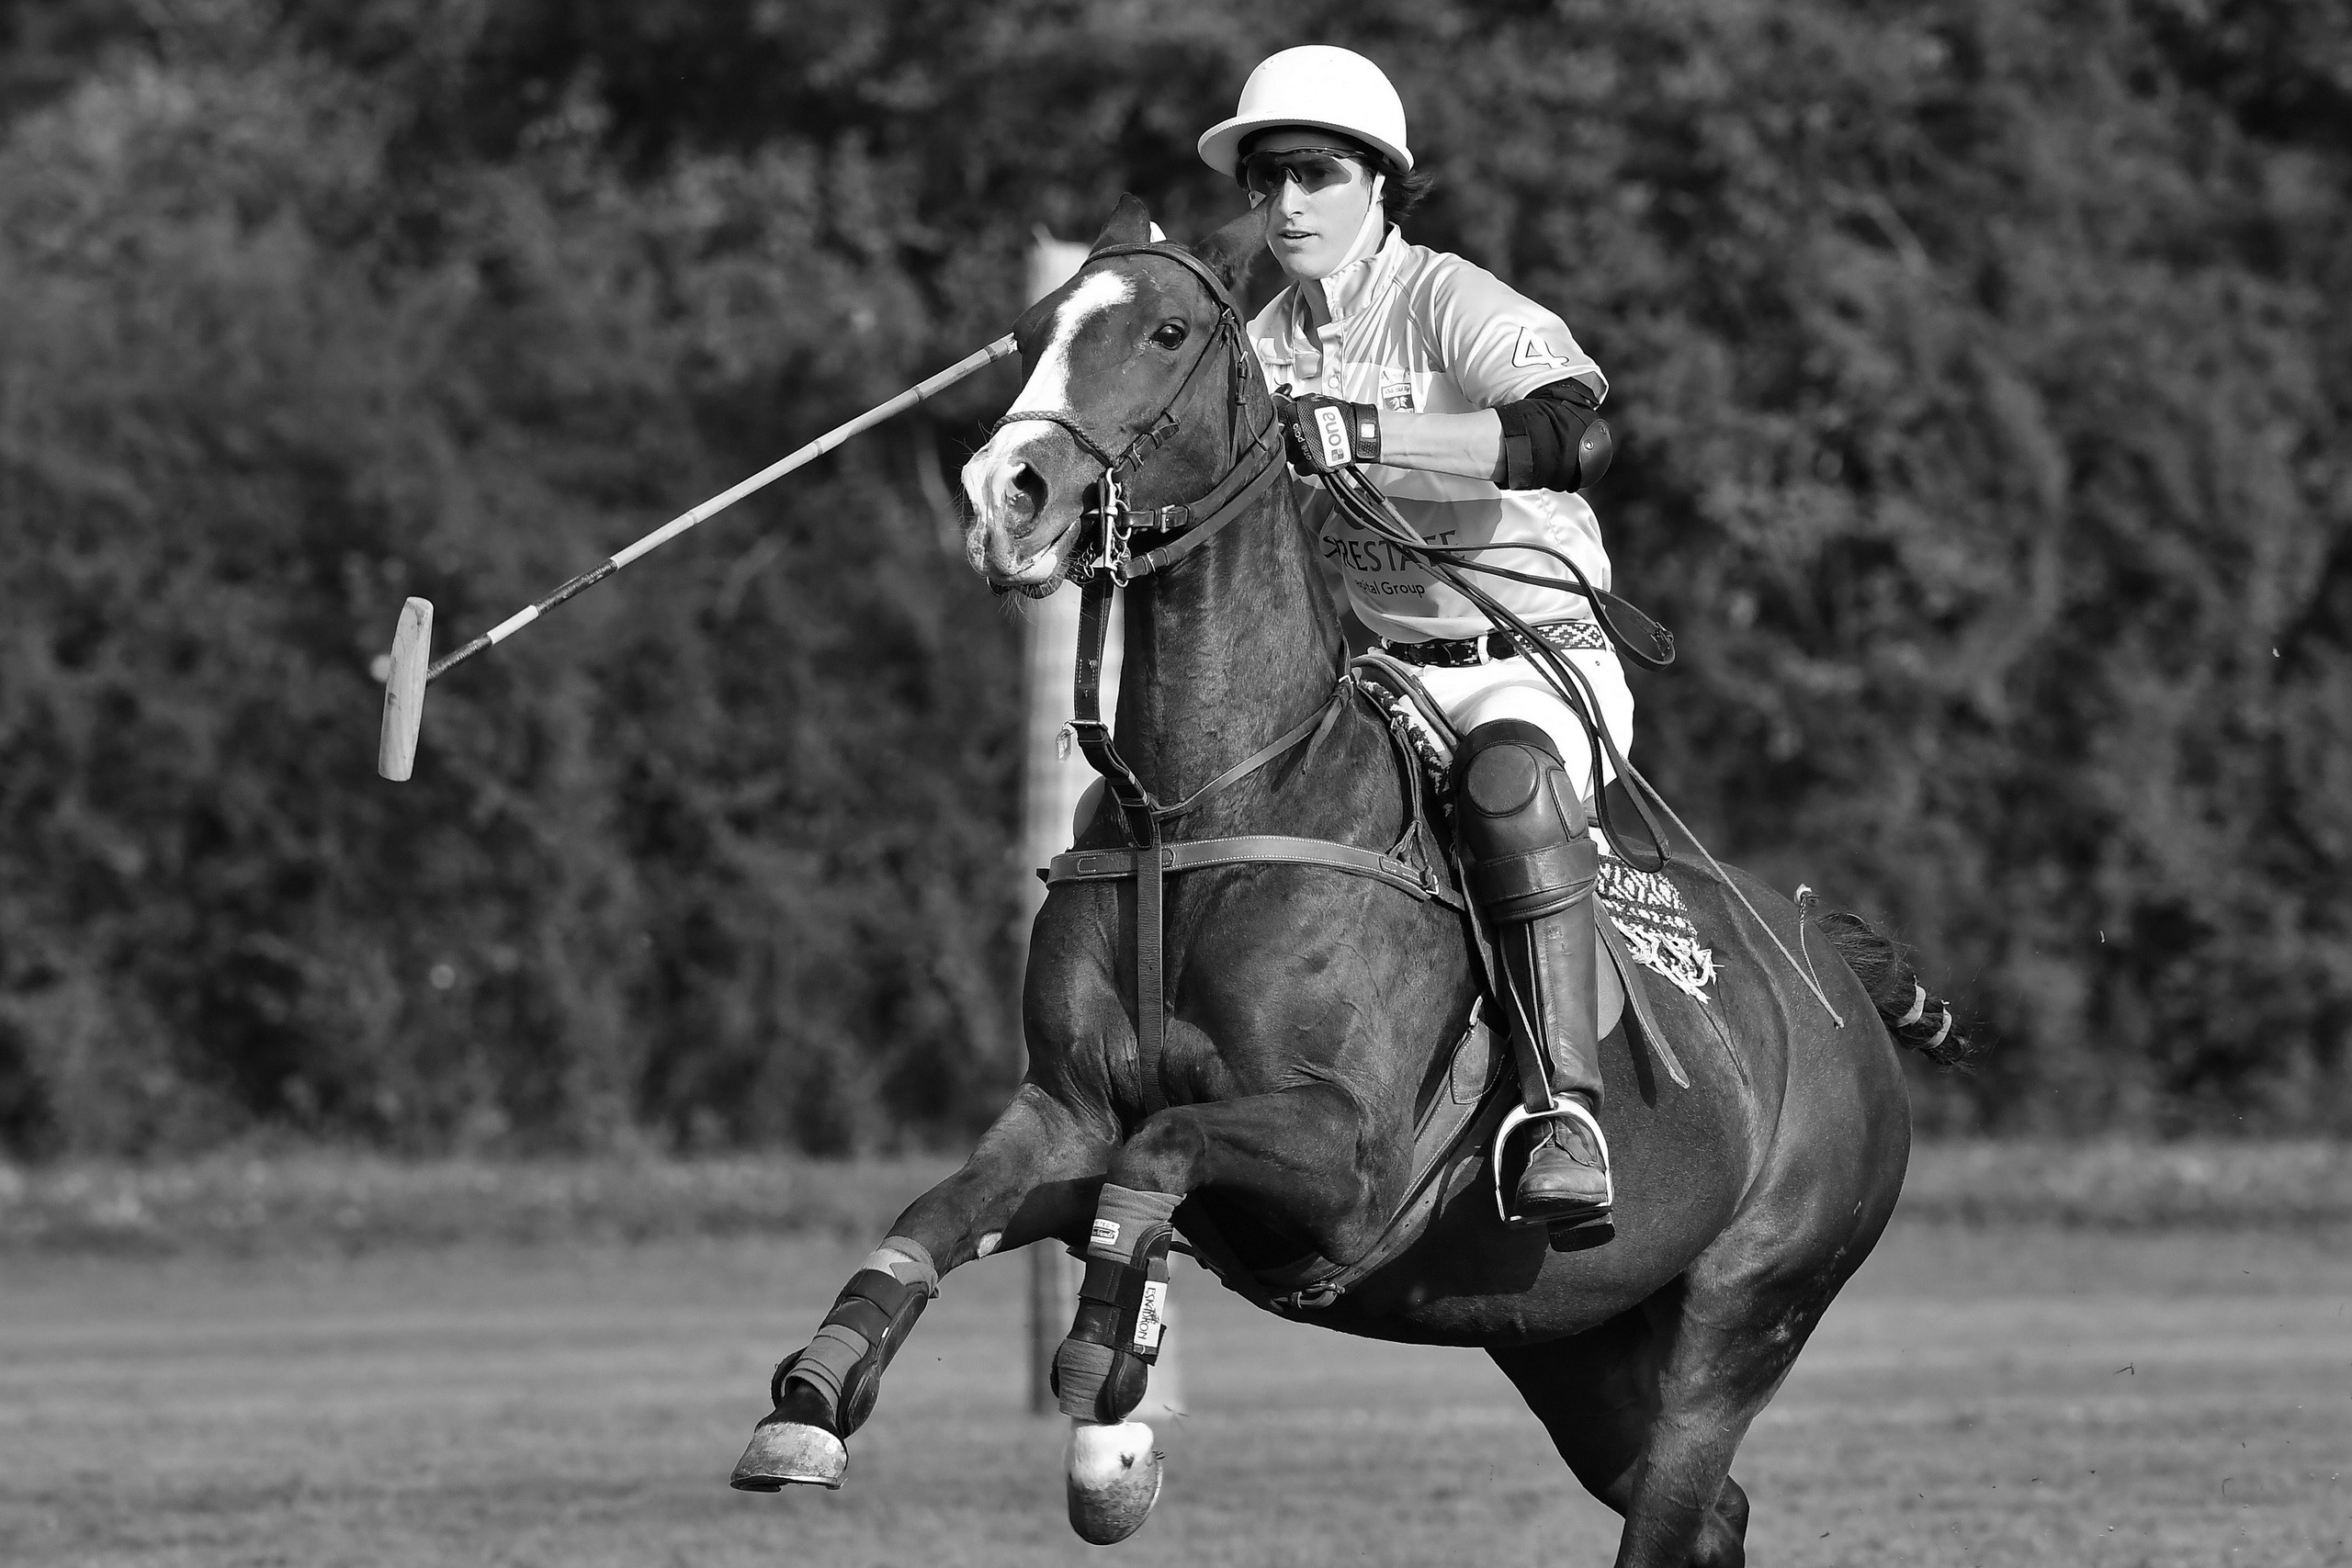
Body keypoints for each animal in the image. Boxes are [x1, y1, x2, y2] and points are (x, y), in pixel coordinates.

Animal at [730, 195, 1966, 1568]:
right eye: (1034, 328)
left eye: (1166, 332)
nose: (1008, 496)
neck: (1201, 800)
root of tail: (1832, 982)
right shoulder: (1062, 1111)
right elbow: (940, 1211)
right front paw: (810, 1401)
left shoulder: (1346, 1151)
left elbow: (1159, 1150)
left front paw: (1109, 1405)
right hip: (1568, 1334)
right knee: (1709, 1511)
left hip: (1753, 1301)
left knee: (1679, 1492)